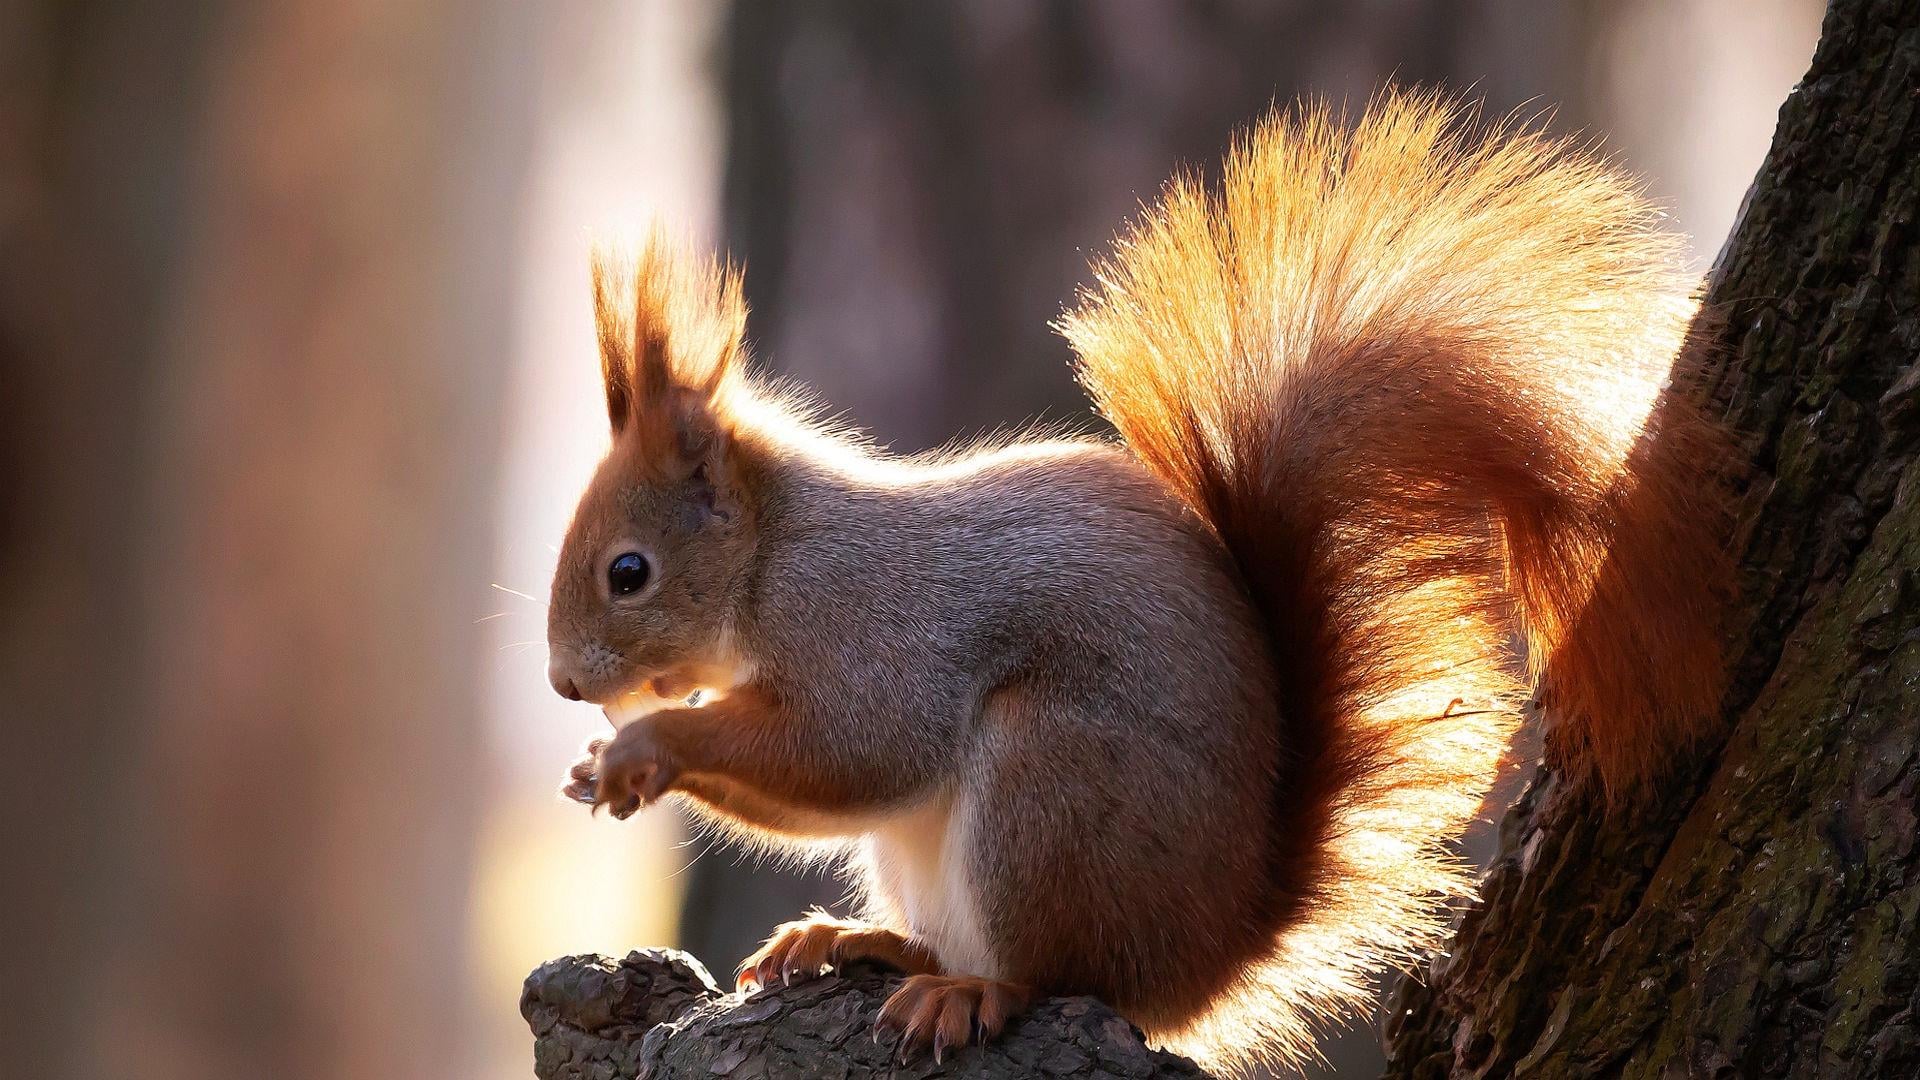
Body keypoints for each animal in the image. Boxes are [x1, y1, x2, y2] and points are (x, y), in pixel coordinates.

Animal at [544, 91, 1732, 1073]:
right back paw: (864, 939)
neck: (774, 556)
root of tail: (1213, 953)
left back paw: (970, 990)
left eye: (629, 573)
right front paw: (604, 766)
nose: (562, 684)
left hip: (1053, 788)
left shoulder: (874, 629)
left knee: (1062, 974)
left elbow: (852, 750)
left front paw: (646, 750)